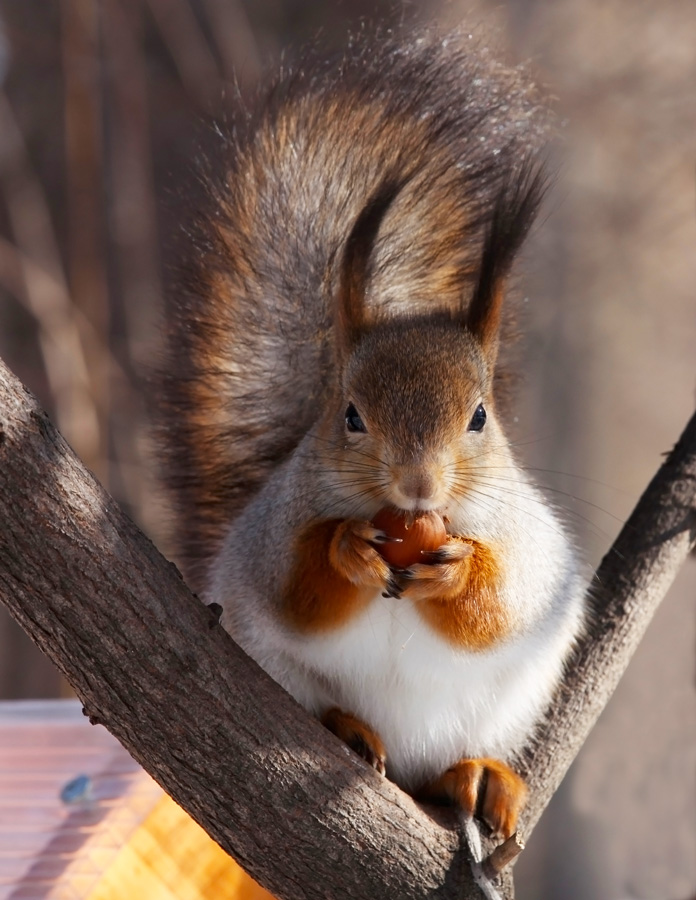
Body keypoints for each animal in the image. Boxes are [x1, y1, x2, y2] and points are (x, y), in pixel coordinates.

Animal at [156, 29, 580, 844]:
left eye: (479, 416)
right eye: (350, 414)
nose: (416, 486)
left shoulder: (531, 551)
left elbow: (499, 607)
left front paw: (458, 572)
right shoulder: (272, 536)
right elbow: (297, 591)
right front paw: (345, 549)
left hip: (505, 706)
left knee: (459, 757)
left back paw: (479, 776)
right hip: (274, 668)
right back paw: (348, 729)